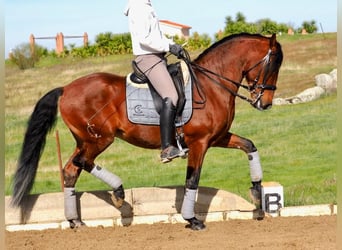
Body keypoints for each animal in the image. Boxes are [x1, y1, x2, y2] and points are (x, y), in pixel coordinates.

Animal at [11, 32, 284, 230]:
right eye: (272, 65)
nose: (265, 103)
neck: (211, 84)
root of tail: (66, 88)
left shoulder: (217, 138)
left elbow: (249, 146)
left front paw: (257, 191)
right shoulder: (199, 143)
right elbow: (192, 179)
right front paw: (192, 219)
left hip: (87, 140)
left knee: (71, 169)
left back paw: (75, 220)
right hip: (99, 139)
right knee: (80, 162)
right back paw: (118, 192)